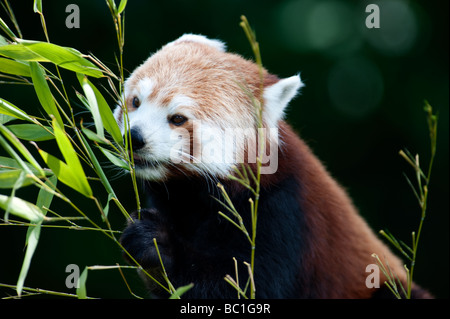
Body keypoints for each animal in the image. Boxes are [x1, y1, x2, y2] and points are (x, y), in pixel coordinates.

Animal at [117, 33, 432, 298]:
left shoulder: (284, 214)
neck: (194, 199)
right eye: (136, 102)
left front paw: (157, 244)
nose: (134, 137)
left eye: (178, 118)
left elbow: (243, 285)